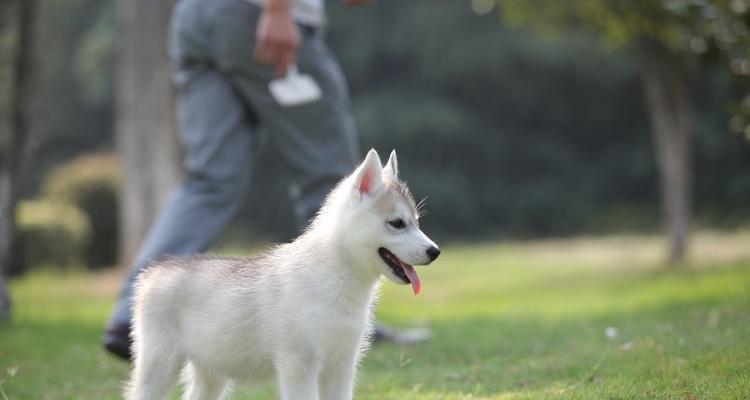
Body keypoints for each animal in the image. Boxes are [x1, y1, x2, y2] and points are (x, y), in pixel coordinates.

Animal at [125, 150, 440, 400]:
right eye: (397, 223)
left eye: (416, 223)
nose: (435, 251)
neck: (338, 278)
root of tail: (157, 267)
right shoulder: (299, 365)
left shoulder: (342, 365)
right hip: (159, 365)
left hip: (210, 374)